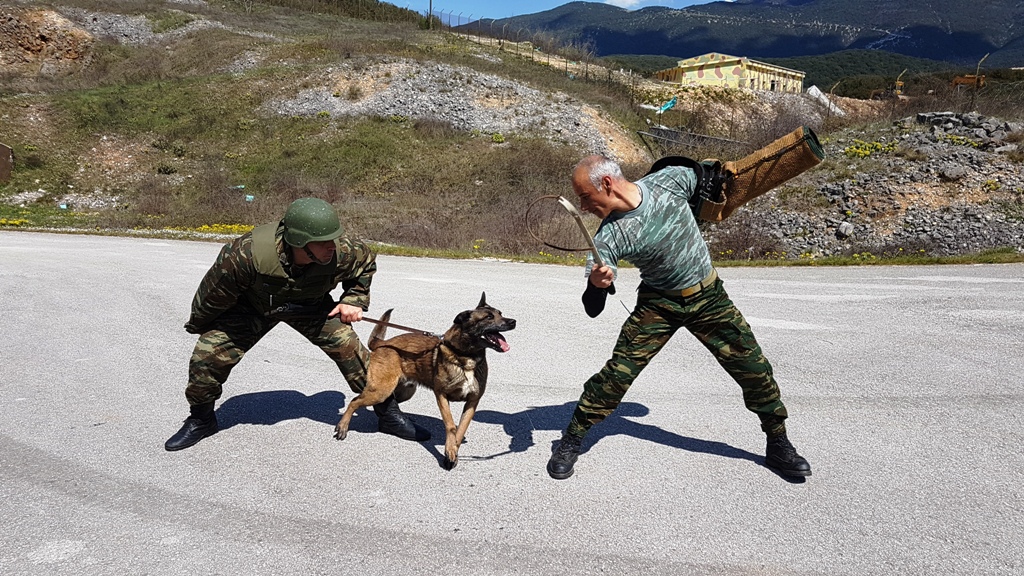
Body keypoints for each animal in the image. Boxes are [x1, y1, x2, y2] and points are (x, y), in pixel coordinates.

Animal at [333, 291, 516, 467]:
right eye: (488, 317)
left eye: (500, 313)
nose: (513, 321)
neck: (465, 357)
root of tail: (383, 343)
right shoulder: (441, 396)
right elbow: (450, 425)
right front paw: (450, 451)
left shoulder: (472, 401)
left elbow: (461, 428)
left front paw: (453, 450)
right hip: (381, 390)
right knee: (355, 401)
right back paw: (343, 426)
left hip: (404, 391)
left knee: (389, 401)